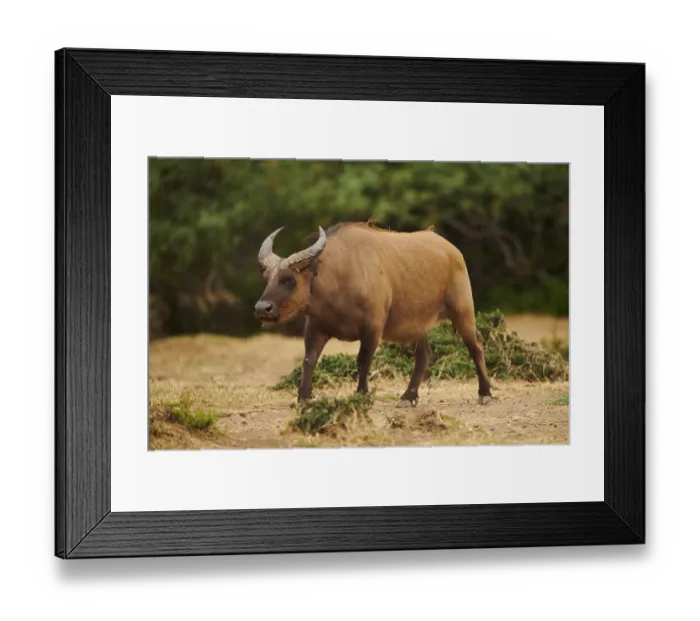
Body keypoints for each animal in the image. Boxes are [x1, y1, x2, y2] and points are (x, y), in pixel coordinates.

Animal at [255, 222, 492, 407]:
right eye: (267, 277)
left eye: (289, 279)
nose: (262, 308)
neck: (339, 280)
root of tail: (451, 250)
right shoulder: (315, 328)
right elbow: (308, 360)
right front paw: (303, 397)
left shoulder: (372, 328)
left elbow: (363, 361)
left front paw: (362, 395)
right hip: (416, 325)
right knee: (424, 355)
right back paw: (408, 397)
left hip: (462, 310)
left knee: (475, 345)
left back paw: (486, 393)